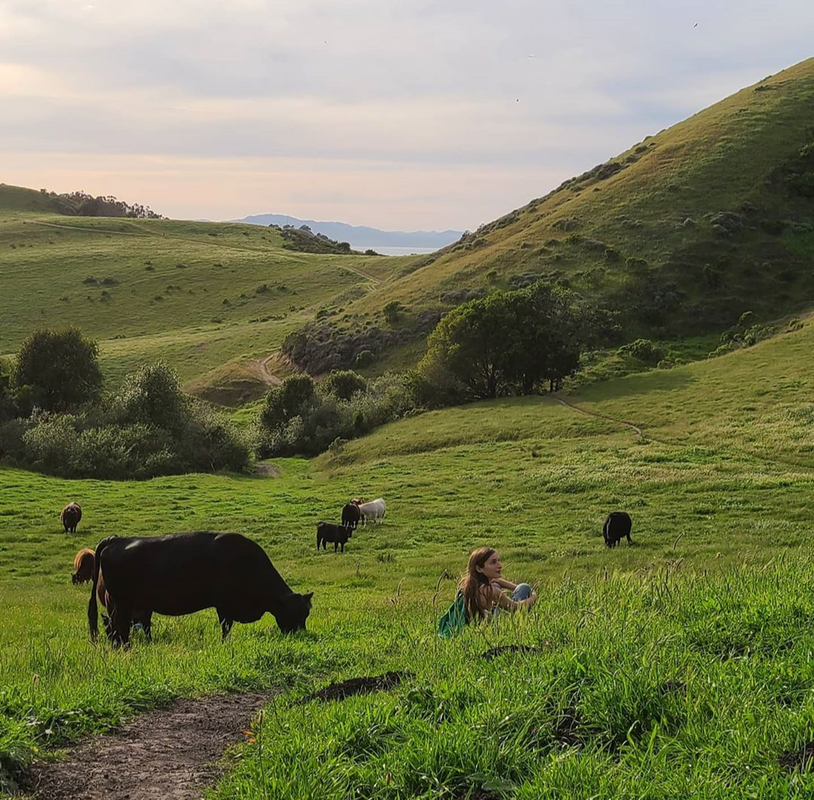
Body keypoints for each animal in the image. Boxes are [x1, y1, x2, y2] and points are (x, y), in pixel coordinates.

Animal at [88, 532, 313, 646]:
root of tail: (116, 540)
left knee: (114, 627)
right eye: (295, 613)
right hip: (123, 604)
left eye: (306, 614)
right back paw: (125, 647)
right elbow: (226, 627)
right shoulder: (225, 605)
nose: (301, 635)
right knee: (119, 626)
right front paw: (224, 644)